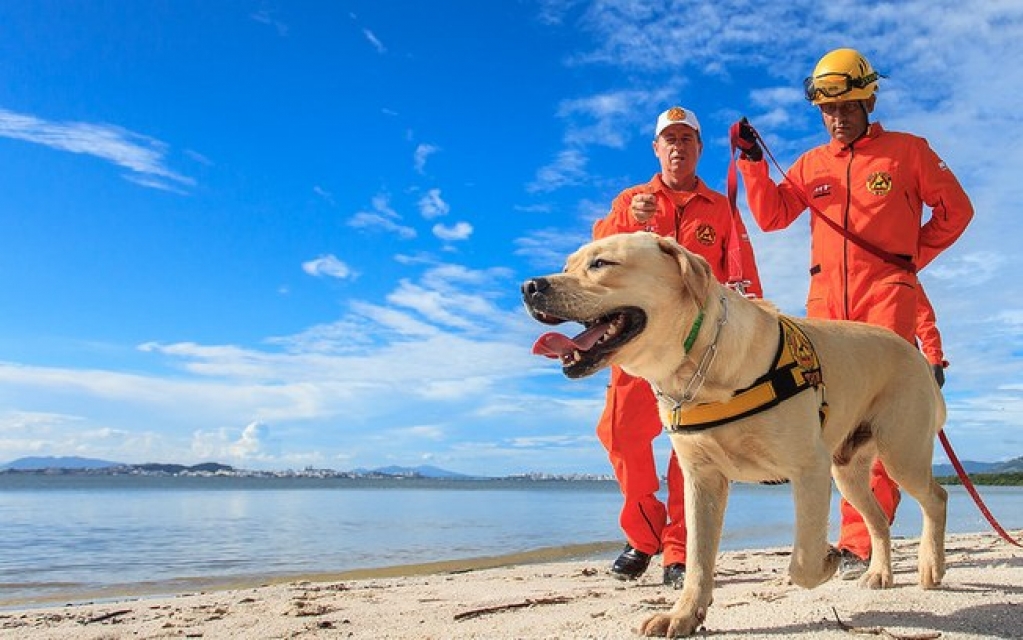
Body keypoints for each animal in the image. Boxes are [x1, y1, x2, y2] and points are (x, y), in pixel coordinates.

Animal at [523, 232, 945, 633]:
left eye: (600, 264)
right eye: (567, 266)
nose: (529, 285)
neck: (697, 366)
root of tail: (916, 354)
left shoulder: (809, 467)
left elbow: (802, 561)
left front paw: (827, 559)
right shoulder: (701, 480)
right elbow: (697, 558)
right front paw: (683, 616)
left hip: (900, 453)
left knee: (935, 497)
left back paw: (931, 566)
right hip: (846, 471)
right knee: (879, 519)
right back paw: (880, 573)